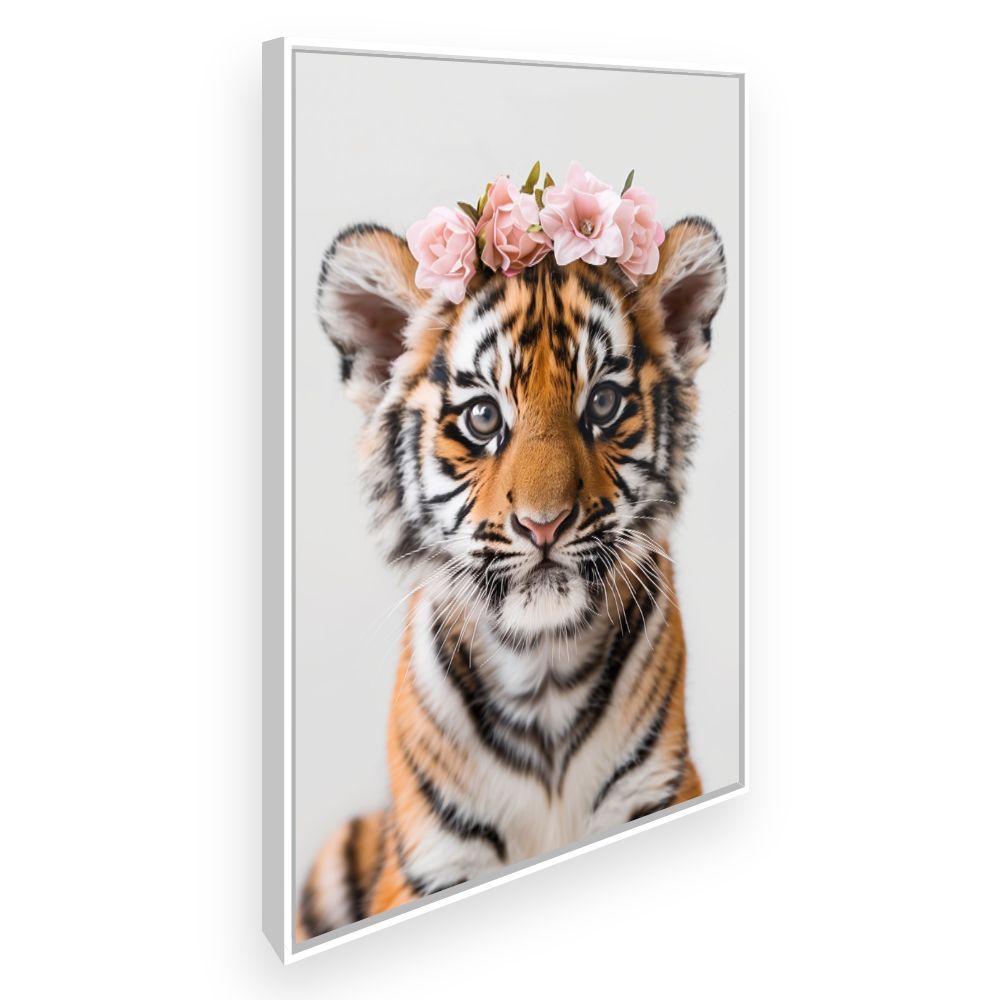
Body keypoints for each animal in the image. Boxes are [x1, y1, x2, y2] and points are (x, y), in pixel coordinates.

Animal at [296, 214, 726, 941]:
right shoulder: (429, 861)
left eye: (603, 404)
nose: (543, 525)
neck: (542, 675)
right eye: (483, 417)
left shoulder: (661, 787)